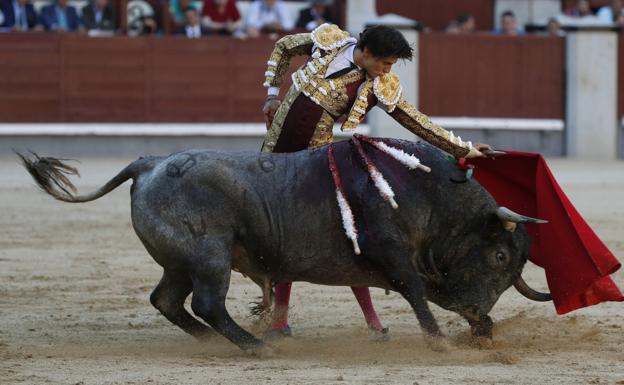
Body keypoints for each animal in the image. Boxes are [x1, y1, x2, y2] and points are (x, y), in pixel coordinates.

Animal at [17, 136, 548, 352]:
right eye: (500, 255)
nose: (479, 312)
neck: (427, 190)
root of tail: (149, 163)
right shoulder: (396, 257)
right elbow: (419, 296)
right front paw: (443, 343)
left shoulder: (421, 268)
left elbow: (435, 295)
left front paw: (482, 332)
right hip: (209, 256)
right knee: (207, 302)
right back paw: (254, 346)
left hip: (181, 262)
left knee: (167, 299)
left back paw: (216, 342)